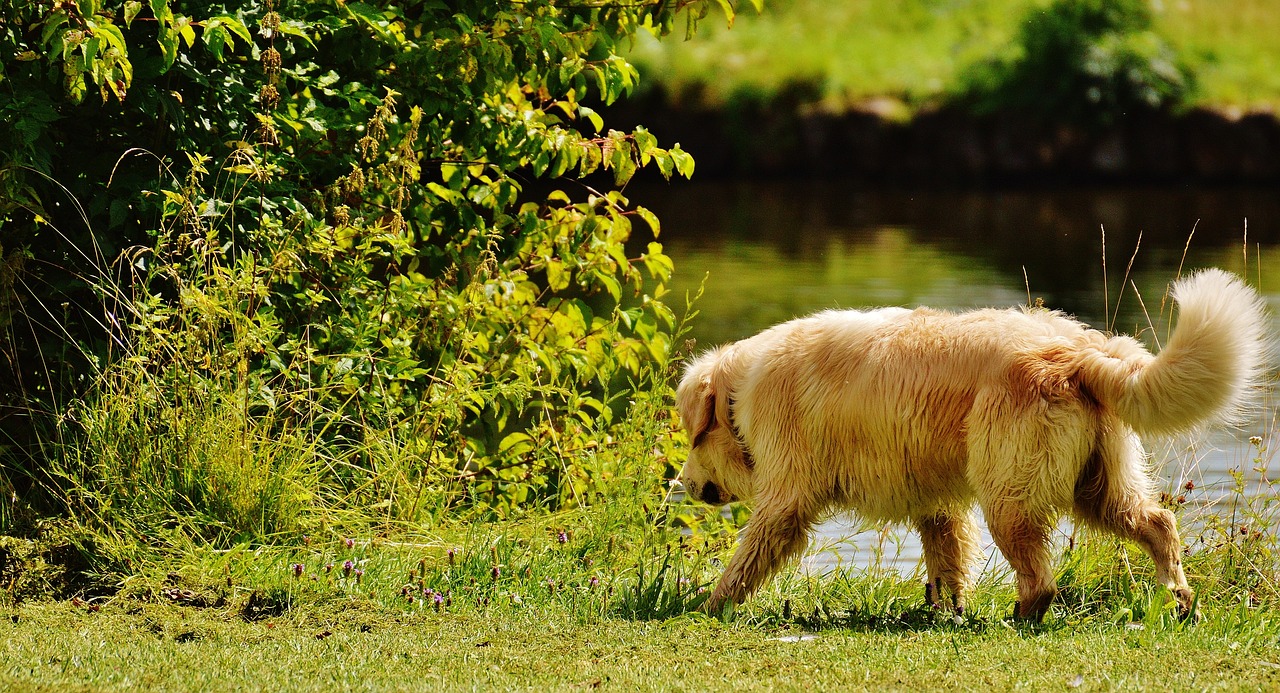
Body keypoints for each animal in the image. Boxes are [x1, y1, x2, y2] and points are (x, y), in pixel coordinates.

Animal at [680, 267, 1269, 619]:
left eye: (690, 437)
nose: (683, 483)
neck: (740, 390)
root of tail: (1078, 351)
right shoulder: (937, 504)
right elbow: (947, 560)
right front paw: (946, 612)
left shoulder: (786, 498)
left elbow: (748, 555)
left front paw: (709, 603)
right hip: (1100, 485)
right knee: (1158, 523)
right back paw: (1181, 599)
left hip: (1010, 491)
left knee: (1040, 579)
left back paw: (1019, 618)